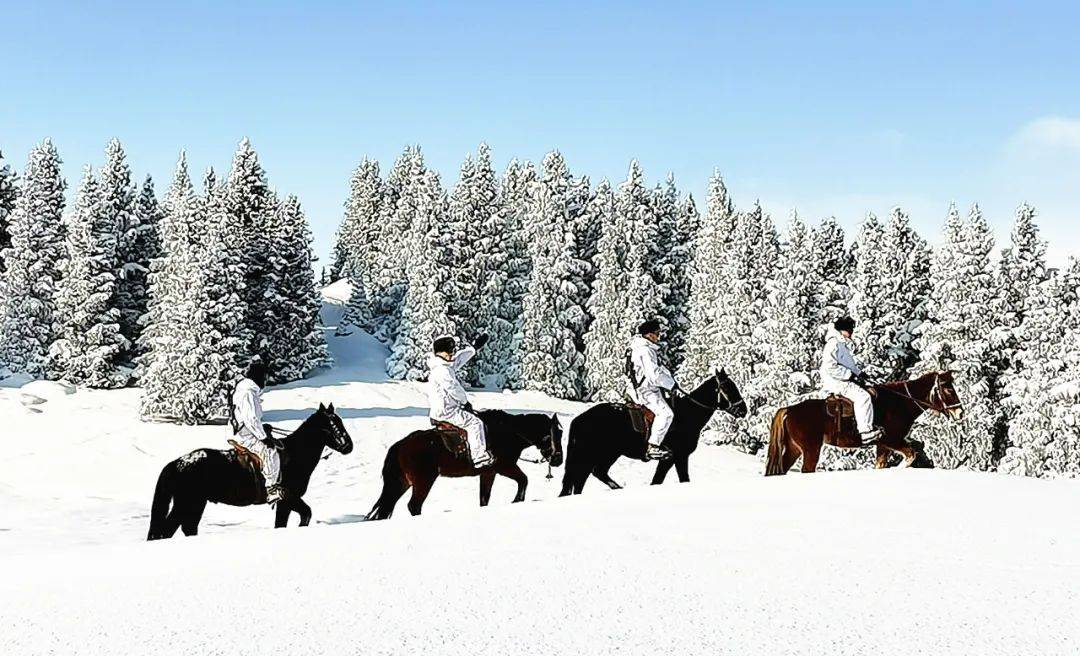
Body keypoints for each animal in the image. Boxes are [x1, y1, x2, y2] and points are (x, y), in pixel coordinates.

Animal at [143, 402, 352, 542]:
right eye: (333, 425)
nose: (348, 446)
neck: (294, 455)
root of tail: (177, 463)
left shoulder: (284, 503)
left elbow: (285, 523)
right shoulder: (288, 498)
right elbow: (306, 514)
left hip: (196, 504)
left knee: (187, 528)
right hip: (185, 503)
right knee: (168, 530)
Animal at [367, 408, 561, 520]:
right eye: (554, 434)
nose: (558, 459)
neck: (510, 432)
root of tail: (401, 445)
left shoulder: (488, 473)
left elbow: (484, 499)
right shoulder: (504, 467)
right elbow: (524, 480)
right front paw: (517, 501)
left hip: (403, 482)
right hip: (424, 481)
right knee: (414, 505)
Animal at [561, 369, 747, 497]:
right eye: (727, 387)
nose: (743, 410)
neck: (687, 415)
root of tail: (580, 419)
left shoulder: (671, 460)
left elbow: (658, 480)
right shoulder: (678, 457)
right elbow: (676, 479)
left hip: (604, 455)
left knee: (587, 477)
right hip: (598, 454)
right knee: (586, 476)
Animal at [764, 369, 967, 477]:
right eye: (948, 389)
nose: (960, 412)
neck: (900, 402)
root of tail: (789, 410)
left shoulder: (883, 445)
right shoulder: (891, 440)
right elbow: (910, 455)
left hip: (794, 449)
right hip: (810, 449)